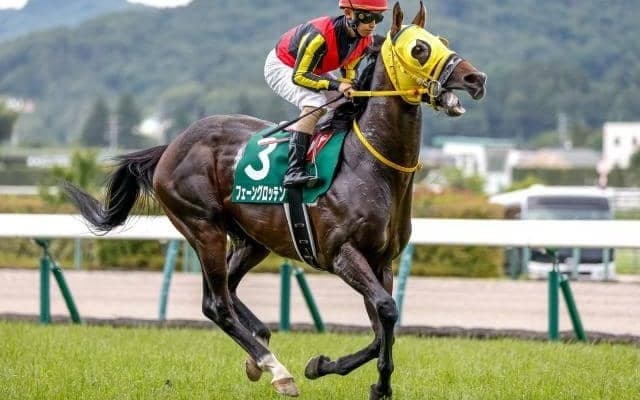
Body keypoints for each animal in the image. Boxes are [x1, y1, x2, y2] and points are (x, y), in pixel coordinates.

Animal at [65, 2, 486, 398]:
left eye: (442, 41)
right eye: (419, 48)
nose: (475, 78)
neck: (371, 165)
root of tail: (170, 146)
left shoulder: (381, 261)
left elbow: (384, 327)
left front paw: (336, 370)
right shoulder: (342, 253)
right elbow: (386, 310)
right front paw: (360, 380)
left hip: (253, 239)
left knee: (225, 291)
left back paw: (260, 347)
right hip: (203, 227)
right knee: (217, 303)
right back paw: (276, 369)